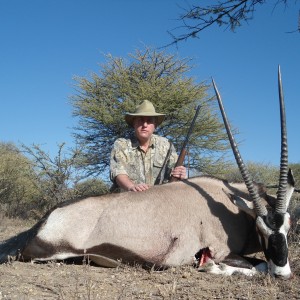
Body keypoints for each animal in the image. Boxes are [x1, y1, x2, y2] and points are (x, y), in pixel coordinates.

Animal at [0, 67, 294, 278]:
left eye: (288, 226)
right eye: (261, 229)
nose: (283, 272)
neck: (227, 205)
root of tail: (44, 222)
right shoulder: (219, 250)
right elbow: (257, 266)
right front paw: (215, 268)